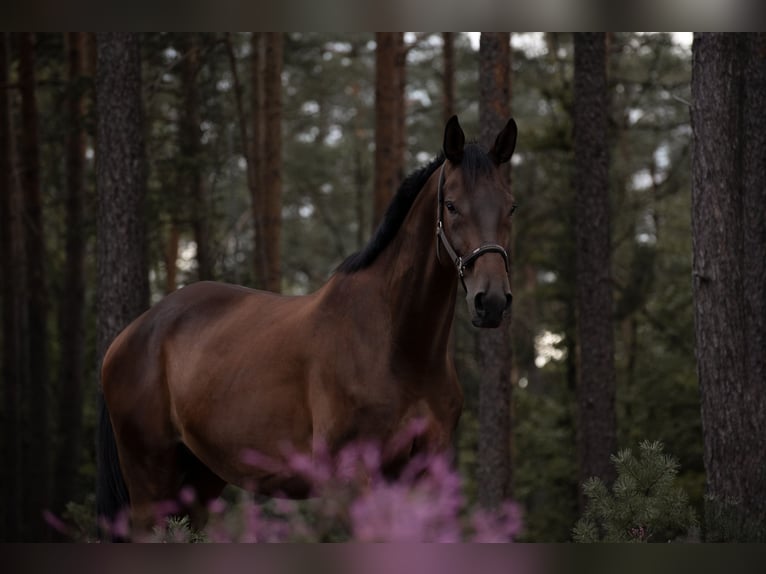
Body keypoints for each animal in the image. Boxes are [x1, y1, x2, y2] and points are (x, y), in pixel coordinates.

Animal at [94, 113, 516, 540]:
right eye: (451, 205)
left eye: (510, 207)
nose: (492, 301)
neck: (398, 348)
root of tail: (131, 334)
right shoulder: (350, 479)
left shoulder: (425, 475)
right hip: (149, 479)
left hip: (200, 479)